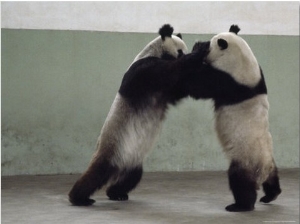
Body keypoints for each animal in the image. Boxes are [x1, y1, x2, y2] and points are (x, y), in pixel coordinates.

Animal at [67, 23, 202, 206]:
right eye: (180, 51)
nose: (186, 53)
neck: (154, 51)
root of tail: (118, 168)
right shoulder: (142, 71)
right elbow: (168, 71)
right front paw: (197, 53)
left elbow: (179, 88)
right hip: (113, 148)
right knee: (96, 174)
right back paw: (79, 198)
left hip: (132, 158)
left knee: (132, 177)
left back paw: (116, 193)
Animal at [191, 25, 282, 212]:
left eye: (210, 45)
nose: (204, 44)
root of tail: (263, 169)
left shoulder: (229, 80)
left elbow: (199, 84)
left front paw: (197, 48)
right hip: (269, 158)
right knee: (273, 178)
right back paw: (270, 195)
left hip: (246, 159)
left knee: (240, 181)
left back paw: (240, 205)